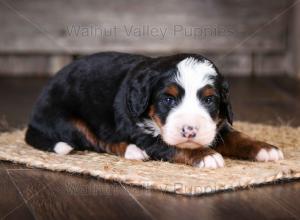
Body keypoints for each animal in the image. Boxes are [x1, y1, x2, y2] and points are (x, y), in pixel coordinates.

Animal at [25, 52, 284, 168]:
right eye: (168, 99)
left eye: (210, 100)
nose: (190, 130)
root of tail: (33, 121)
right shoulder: (142, 132)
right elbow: (173, 145)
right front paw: (206, 155)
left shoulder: (216, 125)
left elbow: (238, 136)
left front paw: (265, 148)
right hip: (69, 120)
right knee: (99, 141)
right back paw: (133, 151)